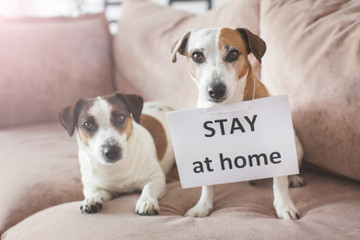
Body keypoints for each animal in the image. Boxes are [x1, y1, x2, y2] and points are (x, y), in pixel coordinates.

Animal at [171, 27, 304, 219]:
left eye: (233, 53)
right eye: (197, 56)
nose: (215, 89)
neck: (227, 110)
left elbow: (279, 182)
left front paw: (284, 206)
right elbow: (207, 184)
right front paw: (202, 206)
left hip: (296, 146)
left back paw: (293, 177)